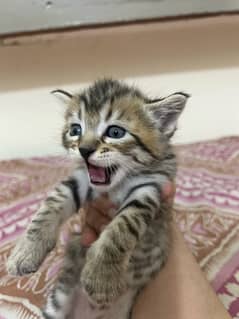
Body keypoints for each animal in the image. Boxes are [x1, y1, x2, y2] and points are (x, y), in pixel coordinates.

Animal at [7, 78, 189, 319]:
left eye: (115, 132)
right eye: (75, 130)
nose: (83, 150)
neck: (115, 185)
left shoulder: (151, 187)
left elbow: (124, 225)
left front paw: (102, 276)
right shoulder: (79, 180)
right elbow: (51, 203)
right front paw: (26, 251)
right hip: (60, 298)